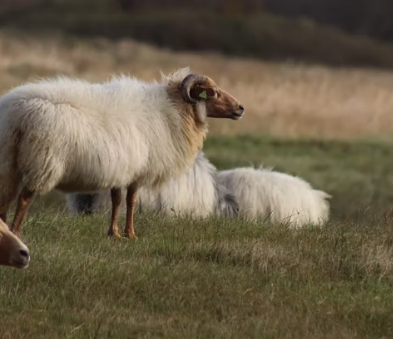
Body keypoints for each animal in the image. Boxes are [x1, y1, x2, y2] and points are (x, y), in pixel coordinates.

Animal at [0, 68, 245, 239]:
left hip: (8, 160)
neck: (173, 111)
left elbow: (117, 200)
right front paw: (130, 234)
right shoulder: (137, 169)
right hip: (42, 160)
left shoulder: (121, 167)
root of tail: (17, 112)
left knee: (6, 195)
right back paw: (15, 232)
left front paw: (114, 233)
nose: (241, 108)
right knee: (24, 198)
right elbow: (130, 201)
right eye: (212, 93)